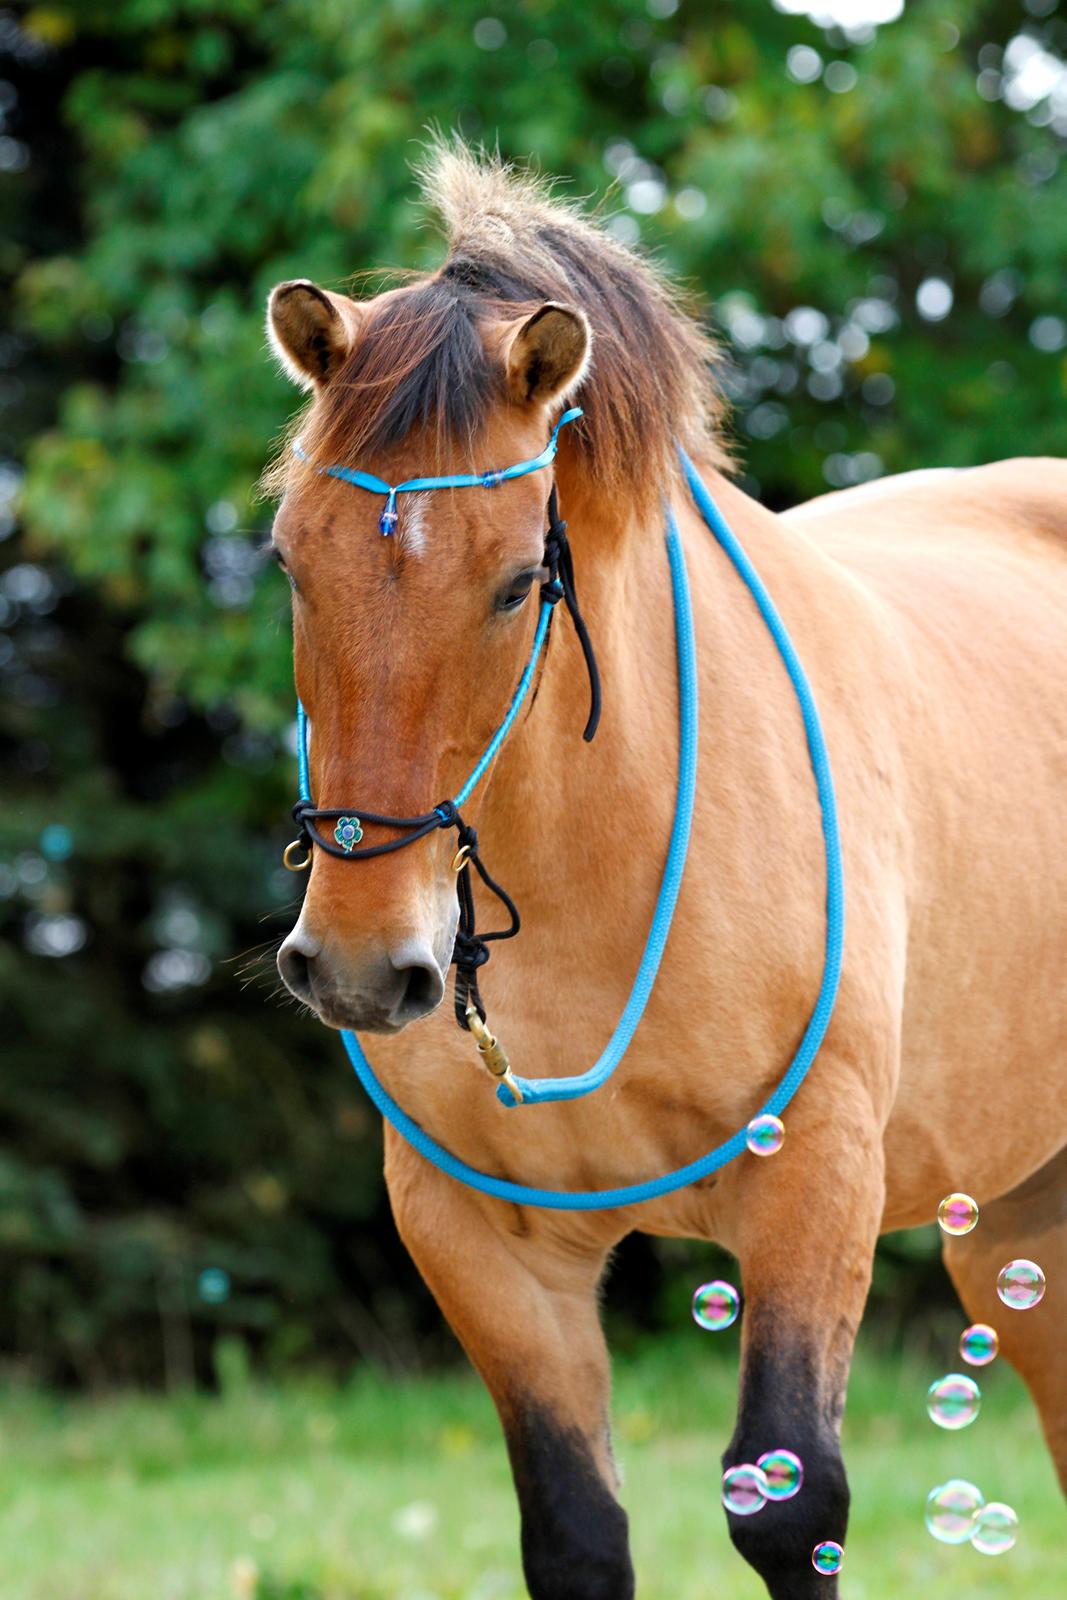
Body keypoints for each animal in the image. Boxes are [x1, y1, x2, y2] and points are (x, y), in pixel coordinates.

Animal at [260, 144, 1067, 1593]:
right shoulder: (481, 1243)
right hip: (1021, 1227)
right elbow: (575, 1532)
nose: (356, 962)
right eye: (290, 559)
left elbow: (788, 1504)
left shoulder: (814, 1183)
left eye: (517, 580)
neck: (596, 866)